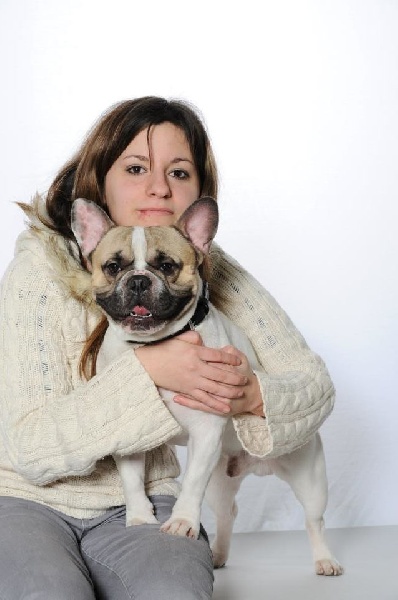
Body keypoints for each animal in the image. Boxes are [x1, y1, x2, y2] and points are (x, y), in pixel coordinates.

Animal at [70, 198, 342, 576]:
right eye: (113, 267)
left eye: (167, 266)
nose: (138, 280)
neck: (156, 343)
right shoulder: (130, 434)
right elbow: (131, 479)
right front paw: (139, 518)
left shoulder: (205, 432)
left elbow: (191, 485)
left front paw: (181, 522)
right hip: (220, 481)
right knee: (228, 513)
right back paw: (218, 554)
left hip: (309, 476)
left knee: (314, 520)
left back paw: (325, 560)